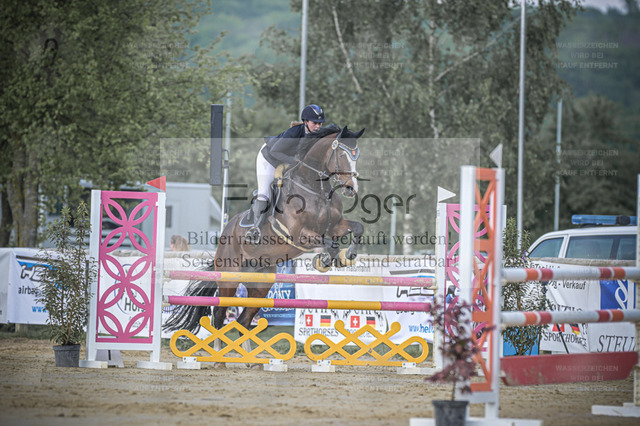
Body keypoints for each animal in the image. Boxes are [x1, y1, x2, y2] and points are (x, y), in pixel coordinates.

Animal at [164, 125, 366, 347]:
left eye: (356, 156)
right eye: (342, 155)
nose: (351, 188)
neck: (315, 189)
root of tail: (225, 233)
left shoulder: (335, 226)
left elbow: (358, 228)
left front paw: (348, 256)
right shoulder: (299, 235)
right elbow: (331, 244)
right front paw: (325, 260)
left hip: (260, 284)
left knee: (243, 320)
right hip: (228, 277)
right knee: (219, 314)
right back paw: (218, 353)